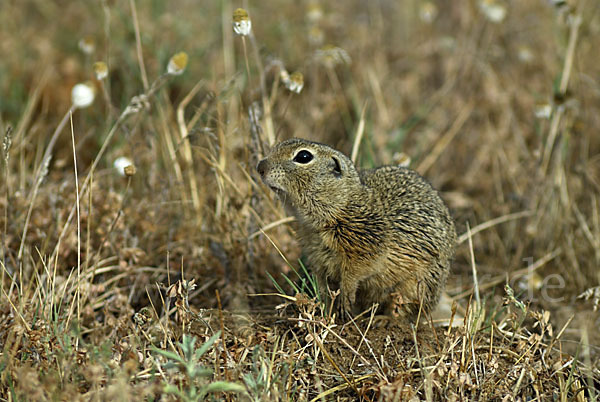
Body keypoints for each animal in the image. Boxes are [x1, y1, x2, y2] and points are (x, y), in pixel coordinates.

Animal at [255, 138, 458, 320]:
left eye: (303, 156)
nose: (260, 167)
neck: (343, 205)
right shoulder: (316, 257)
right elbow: (321, 282)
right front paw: (323, 305)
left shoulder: (364, 251)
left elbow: (353, 276)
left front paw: (345, 301)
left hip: (415, 287)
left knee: (404, 313)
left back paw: (384, 320)